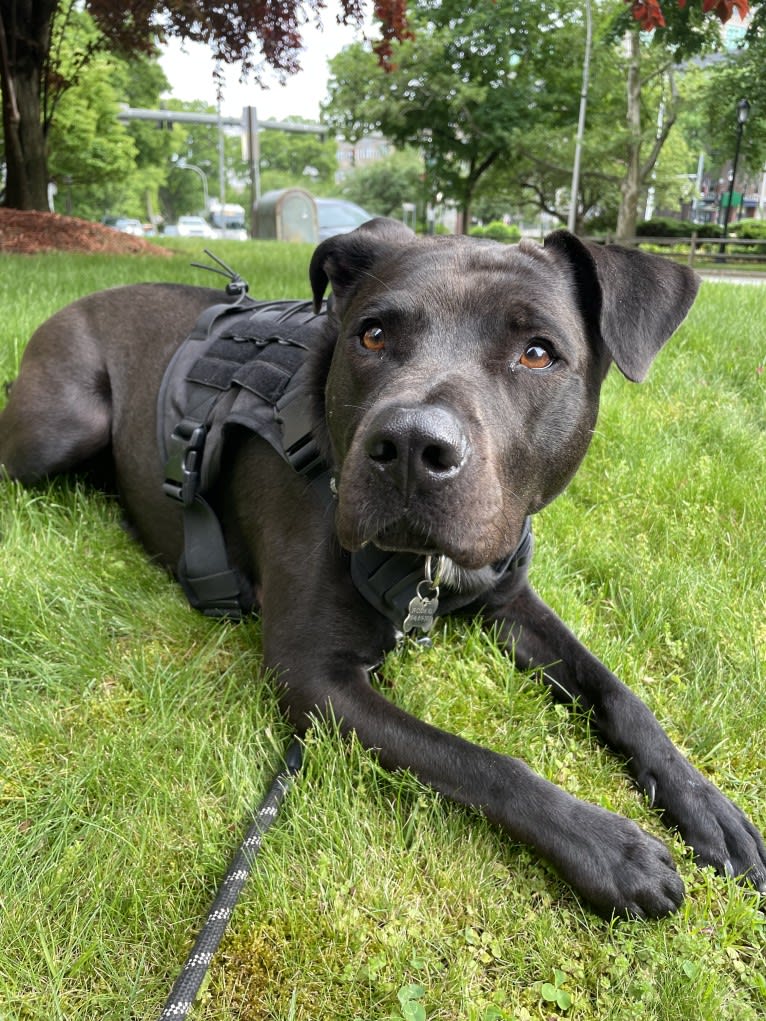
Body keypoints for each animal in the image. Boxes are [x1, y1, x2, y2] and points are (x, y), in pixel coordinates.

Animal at [0, 221, 763, 918]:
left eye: (537, 353)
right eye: (370, 336)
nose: (411, 446)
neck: (428, 568)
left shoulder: (510, 601)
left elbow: (616, 691)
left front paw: (705, 803)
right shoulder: (315, 676)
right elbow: (478, 760)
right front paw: (609, 848)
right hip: (61, 429)